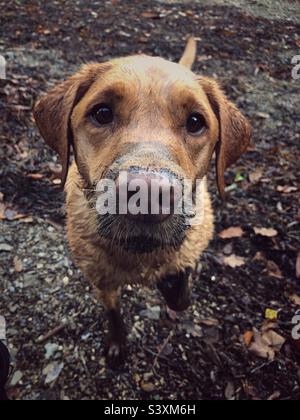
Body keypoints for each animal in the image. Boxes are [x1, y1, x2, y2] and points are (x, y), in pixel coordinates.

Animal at [34, 39, 252, 368]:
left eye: (195, 122)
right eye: (102, 113)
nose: (148, 195)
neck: (139, 254)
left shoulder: (190, 249)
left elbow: (181, 288)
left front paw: (174, 287)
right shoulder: (101, 281)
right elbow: (113, 313)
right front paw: (117, 343)